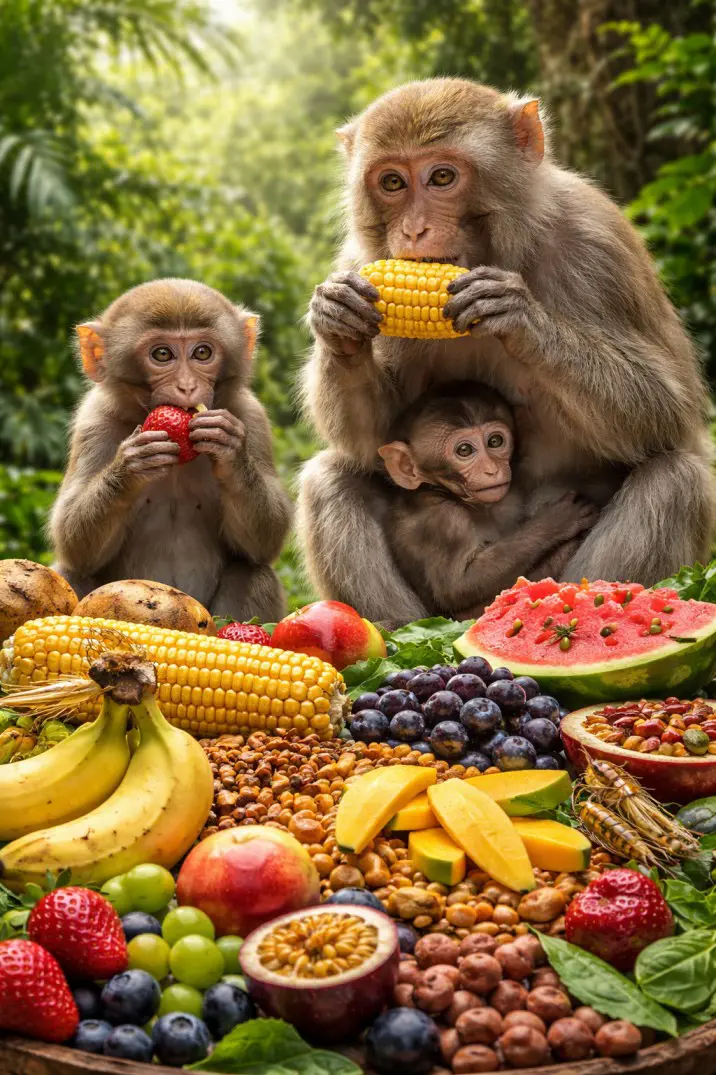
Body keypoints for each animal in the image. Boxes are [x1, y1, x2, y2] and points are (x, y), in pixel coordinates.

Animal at [50, 279, 293, 622]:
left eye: (202, 352)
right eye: (162, 354)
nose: (187, 387)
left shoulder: (251, 417)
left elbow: (265, 541)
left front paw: (230, 452)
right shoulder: (94, 422)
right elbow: (73, 543)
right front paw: (131, 466)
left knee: (254, 572)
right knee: (74, 572)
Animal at [378, 381, 598, 618]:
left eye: (495, 441)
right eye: (464, 450)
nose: (492, 470)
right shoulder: (443, 520)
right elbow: (458, 586)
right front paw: (555, 523)